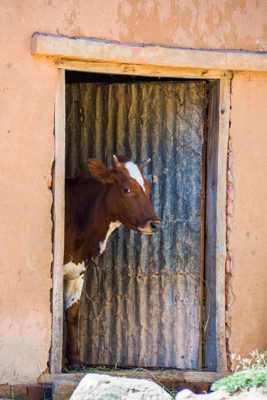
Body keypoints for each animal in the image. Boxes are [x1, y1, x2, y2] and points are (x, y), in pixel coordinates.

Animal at [64, 155, 161, 368]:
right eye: (126, 189)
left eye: (148, 187)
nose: (155, 224)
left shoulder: (79, 269)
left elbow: (72, 312)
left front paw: (75, 360)